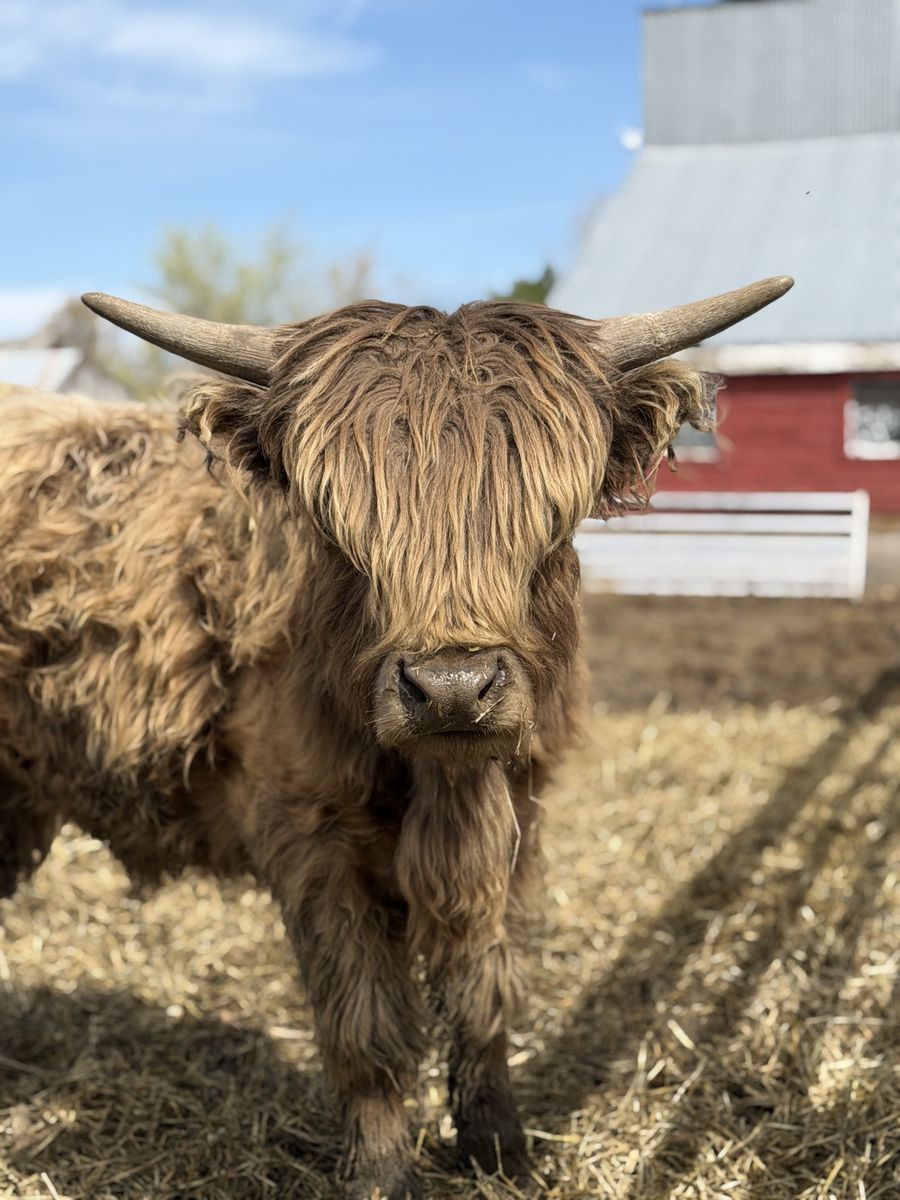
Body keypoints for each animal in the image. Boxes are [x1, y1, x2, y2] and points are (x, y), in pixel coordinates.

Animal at [0, 276, 791, 1199]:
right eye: (340, 532)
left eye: (549, 523)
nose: (450, 689)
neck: (444, 786)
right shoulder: (313, 838)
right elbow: (367, 1028)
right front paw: (383, 1172)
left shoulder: (517, 825)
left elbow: (486, 996)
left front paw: (499, 1147)